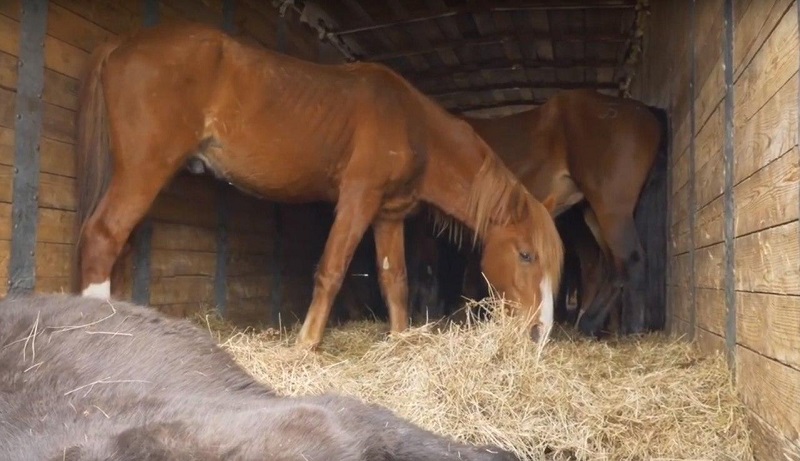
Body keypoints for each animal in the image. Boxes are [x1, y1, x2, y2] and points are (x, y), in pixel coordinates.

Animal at [73, 21, 564, 350]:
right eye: (526, 254)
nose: (541, 335)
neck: (413, 126)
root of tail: (125, 43)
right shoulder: (357, 199)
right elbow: (332, 269)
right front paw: (305, 347)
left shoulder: (388, 215)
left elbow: (395, 281)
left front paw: (399, 341)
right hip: (145, 168)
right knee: (103, 236)